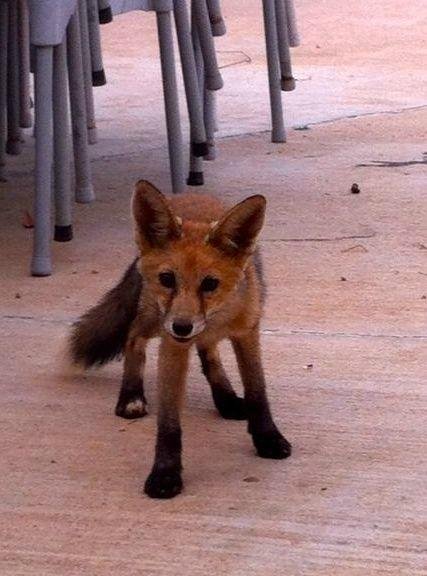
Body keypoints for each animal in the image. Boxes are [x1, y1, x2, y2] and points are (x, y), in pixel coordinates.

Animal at [68, 181, 292, 500]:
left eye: (210, 284)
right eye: (167, 279)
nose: (182, 326)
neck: (217, 317)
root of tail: (188, 195)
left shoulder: (247, 332)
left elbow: (258, 392)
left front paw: (268, 438)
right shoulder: (172, 345)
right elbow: (169, 422)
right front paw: (165, 473)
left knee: (209, 354)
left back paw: (225, 399)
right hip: (153, 319)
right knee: (132, 337)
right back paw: (131, 396)